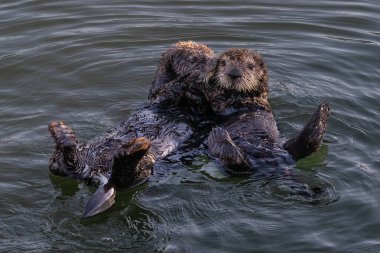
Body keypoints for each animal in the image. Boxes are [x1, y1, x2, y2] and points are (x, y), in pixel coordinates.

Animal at [47, 41, 215, 217]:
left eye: (210, 54)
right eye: (195, 59)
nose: (214, 63)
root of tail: (94, 174)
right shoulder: (160, 93)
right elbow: (167, 91)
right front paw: (190, 77)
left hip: (143, 170)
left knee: (122, 177)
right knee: (59, 166)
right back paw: (62, 133)